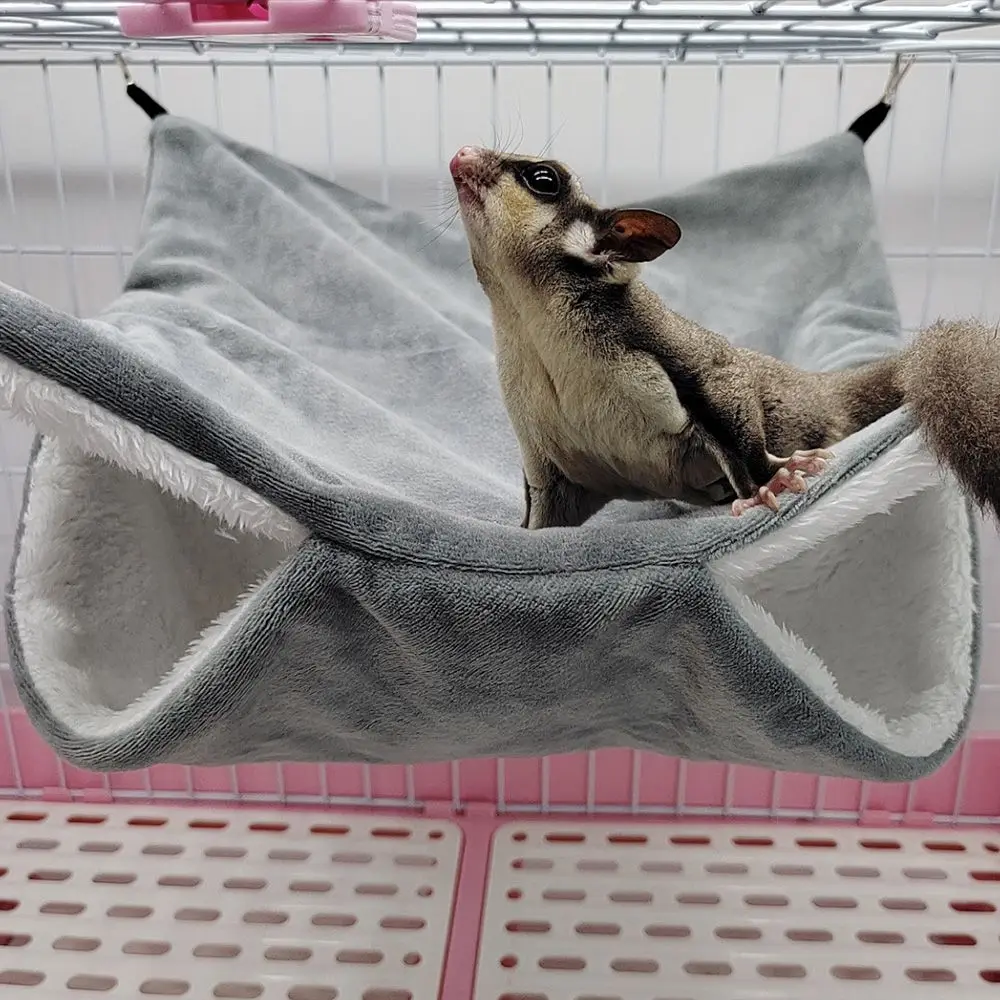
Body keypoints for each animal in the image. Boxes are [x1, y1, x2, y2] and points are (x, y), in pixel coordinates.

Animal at [449, 143, 1000, 529]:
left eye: (542, 179)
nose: (461, 153)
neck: (530, 325)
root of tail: (823, 389)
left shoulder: (658, 341)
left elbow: (723, 386)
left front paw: (766, 482)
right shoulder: (546, 458)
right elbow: (545, 512)